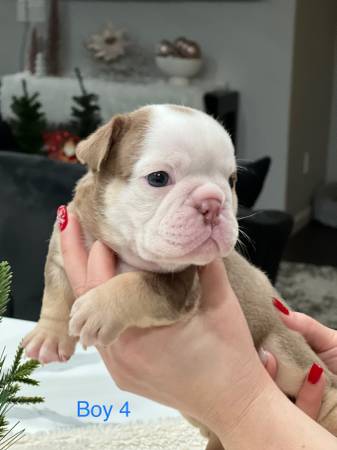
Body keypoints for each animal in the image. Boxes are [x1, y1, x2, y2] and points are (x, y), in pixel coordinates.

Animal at [22, 104, 336, 446]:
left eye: (231, 181)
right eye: (158, 178)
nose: (214, 201)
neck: (123, 247)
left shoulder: (178, 286)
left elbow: (137, 284)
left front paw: (98, 308)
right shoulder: (64, 248)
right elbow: (55, 293)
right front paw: (48, 337)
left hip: (286, 348)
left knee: (323, 386)